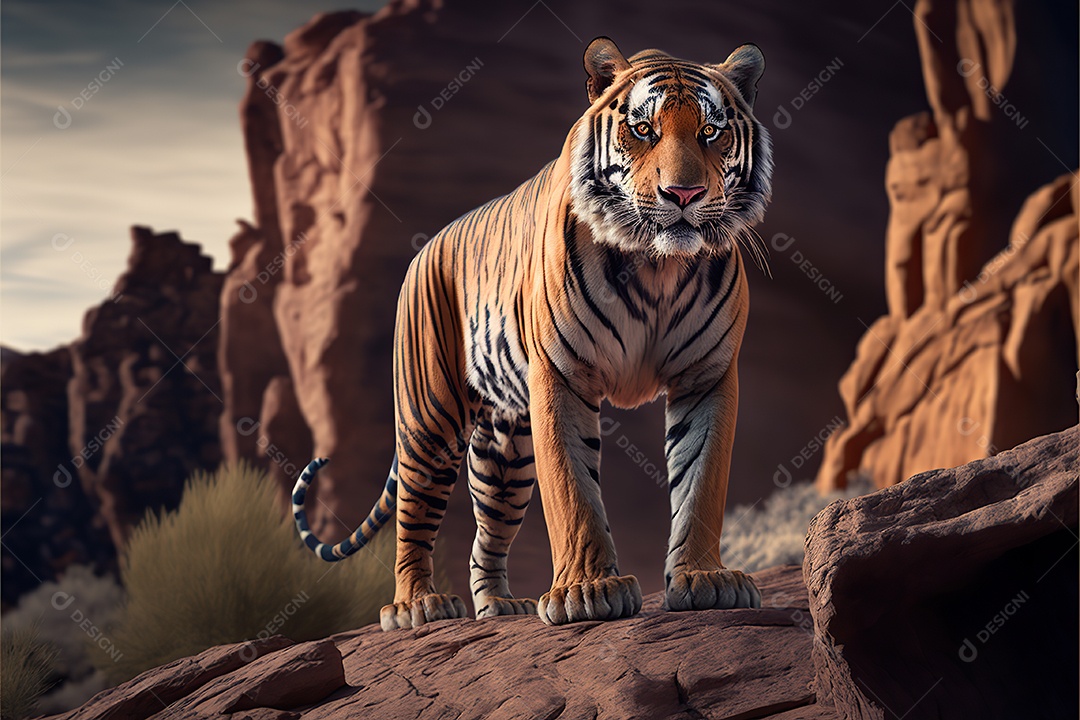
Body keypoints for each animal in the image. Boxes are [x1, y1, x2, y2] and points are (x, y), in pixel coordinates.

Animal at [292, 36, 772, 630]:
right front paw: (588, 592)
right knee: (413, 516)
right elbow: (573, 491)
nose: (683, 194)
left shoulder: (705, 378)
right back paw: (417, 606)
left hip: (506, 452)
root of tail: (425, 249)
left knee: (485, 537)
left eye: (710, 131)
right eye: (643, 129)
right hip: (430, 422)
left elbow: (702, 482)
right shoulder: (563, 377)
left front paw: (705, 580)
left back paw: (500, 605)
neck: (657, 266)